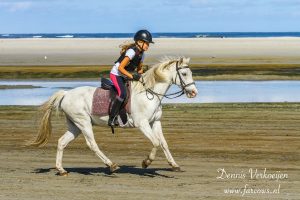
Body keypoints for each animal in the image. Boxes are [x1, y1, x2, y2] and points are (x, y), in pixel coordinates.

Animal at [30, 56, 198, 175]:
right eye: (184, 73)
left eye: (190, 73)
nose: (194, 92)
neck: (149, 93)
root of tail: (66, 93)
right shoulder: (142, 124)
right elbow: (156, 142)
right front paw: (146, 162)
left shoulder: (155, 122)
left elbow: (163, 143)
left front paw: (174, 165)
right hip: (83, 123)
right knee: (92, 144)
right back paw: (111, 165)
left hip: (75, 126)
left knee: (61, 142)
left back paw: (61, 169)